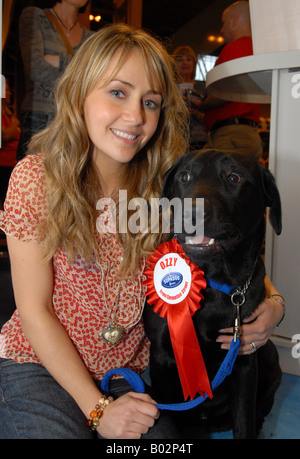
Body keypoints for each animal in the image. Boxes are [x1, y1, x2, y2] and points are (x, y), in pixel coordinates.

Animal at [144, 150, 282, 438]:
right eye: (185, 176)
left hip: (270, 354)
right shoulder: (162, 358)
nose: (191, 213)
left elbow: (244, 422)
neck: (213, 282)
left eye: (234, 177)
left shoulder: (243, 358)